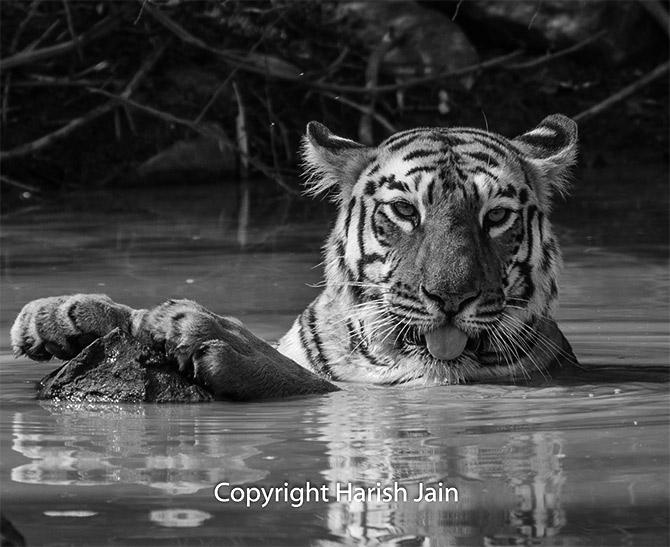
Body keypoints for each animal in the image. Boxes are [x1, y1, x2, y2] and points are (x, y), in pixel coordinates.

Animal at [10, 115, 580, 398]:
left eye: (496, 217)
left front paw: (198, 328)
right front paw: (59, 314)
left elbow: (302, 378)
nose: (451, 298)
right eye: (404, 210)